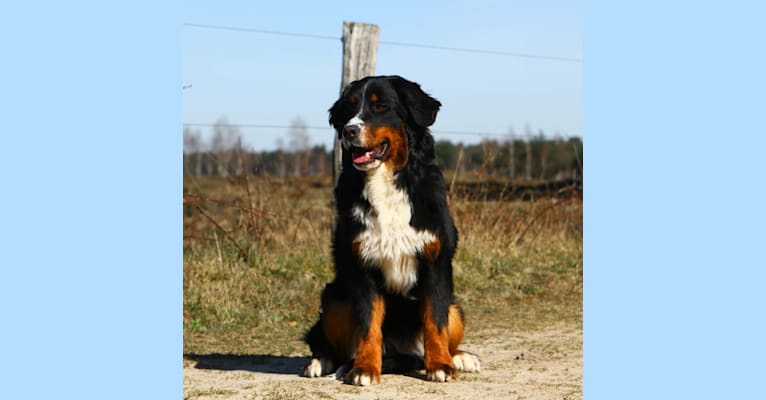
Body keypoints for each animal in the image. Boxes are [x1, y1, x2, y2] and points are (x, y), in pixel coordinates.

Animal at [304, 75, 480, 384]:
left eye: (380, 107)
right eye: (348, 110)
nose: (349, 131)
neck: (385, 181)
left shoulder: (435, 263)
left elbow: (435, 323)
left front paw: (440, 365)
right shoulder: (362, 265)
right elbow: (368, 325)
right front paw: (364, 368)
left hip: (455, 307)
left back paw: (460, 357)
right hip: (335, 299)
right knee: (327, 343)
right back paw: (323, 362)